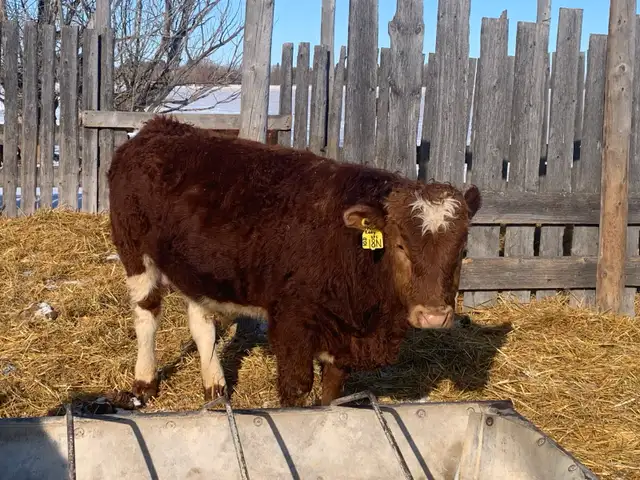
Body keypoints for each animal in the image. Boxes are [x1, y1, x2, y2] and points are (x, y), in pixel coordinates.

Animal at [107, 116, 482, 408]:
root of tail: (157, 127)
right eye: (401, 245)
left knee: (201, 322)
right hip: (133, 249)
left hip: (193, 267)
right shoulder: (292, 325)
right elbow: (296, 390)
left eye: (462, 249)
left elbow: (331, 392)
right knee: (146, 312)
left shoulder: (342, 338)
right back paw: (144, 382)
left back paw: (214, 387)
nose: (433, 316)